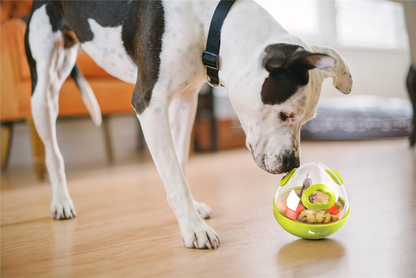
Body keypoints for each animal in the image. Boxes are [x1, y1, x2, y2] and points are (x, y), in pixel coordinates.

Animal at [25, 0, 352, 250]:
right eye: (286, 115)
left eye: (306, 120)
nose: (291, 165)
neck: (208, 22)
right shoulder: (150, 105)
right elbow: (174, 176)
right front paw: (193, 227)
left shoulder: (185, 101)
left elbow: (179, 164)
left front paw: (191, 210)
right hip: (43, 93)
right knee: (53, 151)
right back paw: (61, 201)